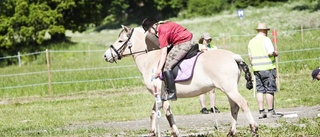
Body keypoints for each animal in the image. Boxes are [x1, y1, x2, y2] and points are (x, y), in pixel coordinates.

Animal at [104, 25, 258, 136]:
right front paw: (152, 133)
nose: (106, 56)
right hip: (229, 90)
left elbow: (167, 114)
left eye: (120, 41)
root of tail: (233, 56)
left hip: (229, 89)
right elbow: (153, 113)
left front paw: (174, 133)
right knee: (234, 107)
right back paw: (231, 132)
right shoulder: (158, 96)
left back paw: (254, 129)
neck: (151, 59)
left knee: (243, 104)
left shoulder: (162, 95)